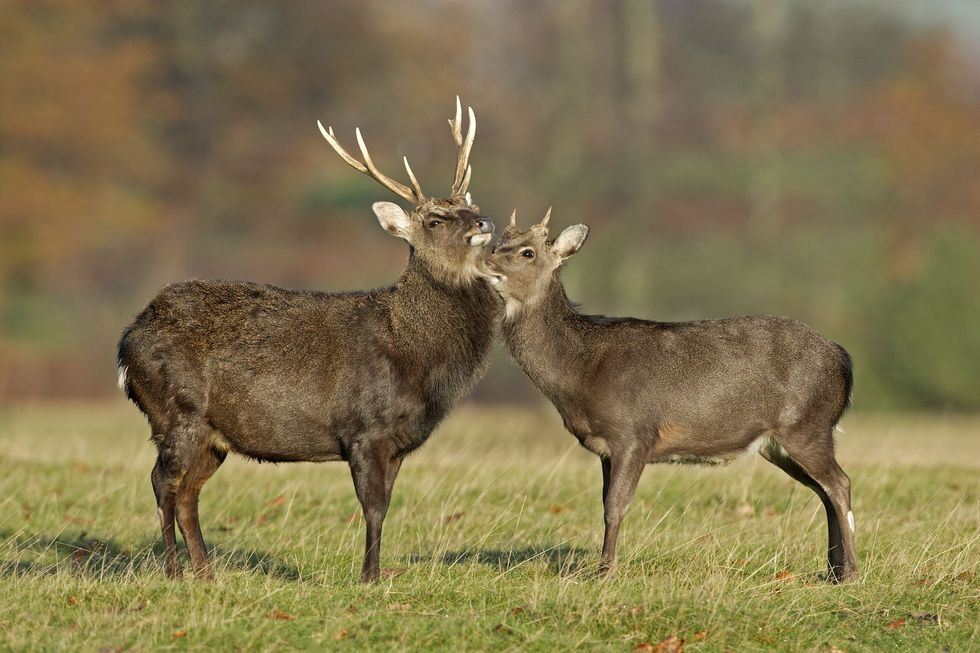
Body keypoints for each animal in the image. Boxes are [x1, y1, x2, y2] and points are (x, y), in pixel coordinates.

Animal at [117, 98, 500, 583]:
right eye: (434, 220)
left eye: (471, 203)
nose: (485, 221)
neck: (412, 354)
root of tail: (128, 342)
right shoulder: (363, 429)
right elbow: (373, 508)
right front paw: (369, 578)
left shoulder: (397, 444)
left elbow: (387, 506)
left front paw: (374, 574)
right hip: (176, 410)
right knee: (162, 482)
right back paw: (174, 571)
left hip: (211, 435)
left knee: (187, 493)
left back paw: (206, 572)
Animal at [478, 209, 858, 582]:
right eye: (499, 243)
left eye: (527, 252)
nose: (484, 260)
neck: (581, 372)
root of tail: (842, 359)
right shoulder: (605, 448)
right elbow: (604, 504)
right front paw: (604, 568)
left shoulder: (634, 433)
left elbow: (615, 506)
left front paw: (605, 573)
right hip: (779, 443)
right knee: (824, 491)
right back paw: (833, 570)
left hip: (806, 424)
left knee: (839, 484)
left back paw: (850, 572)